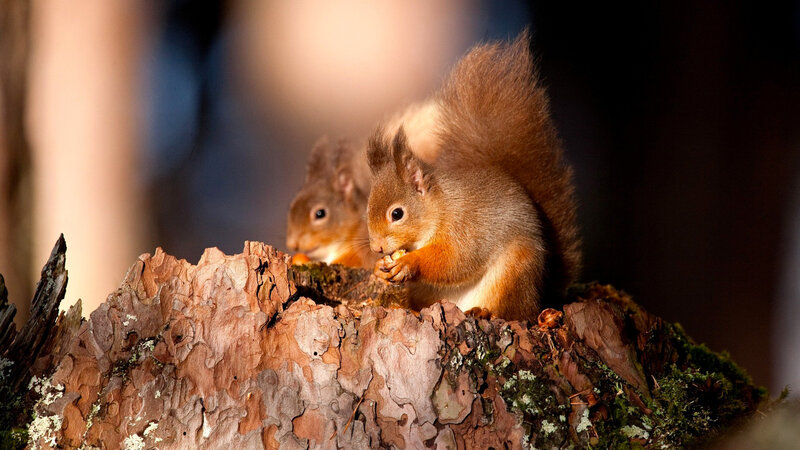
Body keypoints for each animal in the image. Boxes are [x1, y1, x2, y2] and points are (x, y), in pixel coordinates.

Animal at [366, 32, 581, 320]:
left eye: (397, 214)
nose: (376, 248)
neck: (441, 207)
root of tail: (540, 294)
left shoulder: (466, 227)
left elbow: (455, 260)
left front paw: (410, 262)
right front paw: (379, 268)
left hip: (514, 273)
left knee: (514, 312)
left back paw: (485, 312)